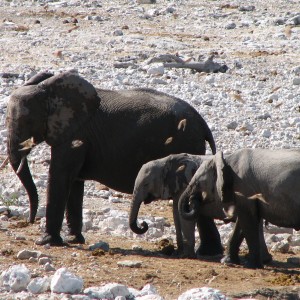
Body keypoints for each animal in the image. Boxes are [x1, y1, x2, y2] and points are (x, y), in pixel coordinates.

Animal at [6, 69, 220, 248]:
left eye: (26, 121)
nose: (30, 220)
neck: (48, 89)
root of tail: (203, 124)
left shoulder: (75, 134)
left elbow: (61, 176)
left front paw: (46, 242)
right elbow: (74, 181)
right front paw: (74, 240)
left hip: (187, 141)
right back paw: (209, 252)